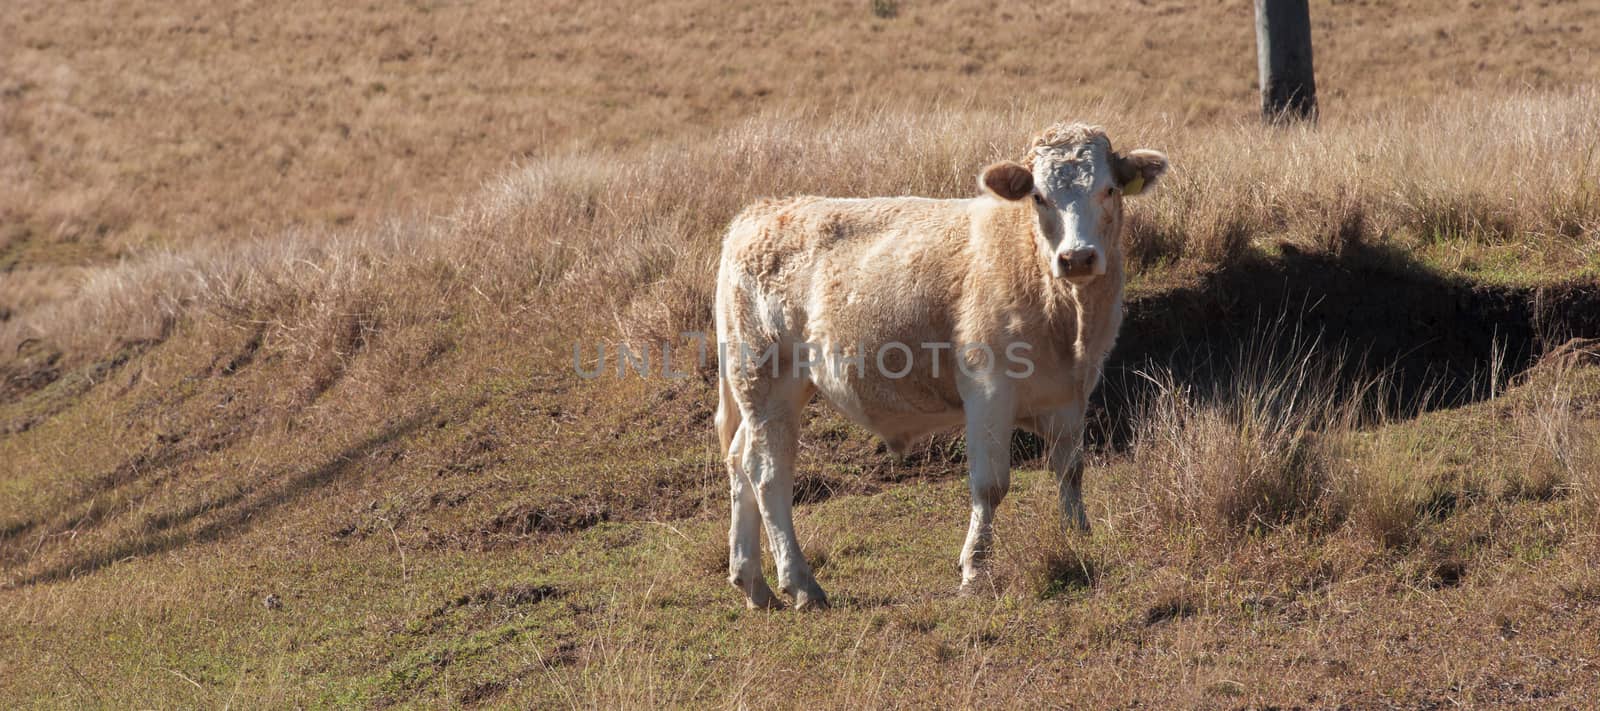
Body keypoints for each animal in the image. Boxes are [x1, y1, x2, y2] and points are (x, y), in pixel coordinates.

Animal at [720, 123, 1171, 611]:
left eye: (1108, 189)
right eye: (1039, 196)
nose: (1077, 257)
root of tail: (761, 212)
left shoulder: (1072, 394)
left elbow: (1070, 470)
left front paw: (1077, 537)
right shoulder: (989, 389)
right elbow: (990, 484)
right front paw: (975, 567)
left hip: (769, 395)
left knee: (740, 461)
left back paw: (752, 582)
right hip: (766, 380)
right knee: (768, 472)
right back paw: (800, 582)